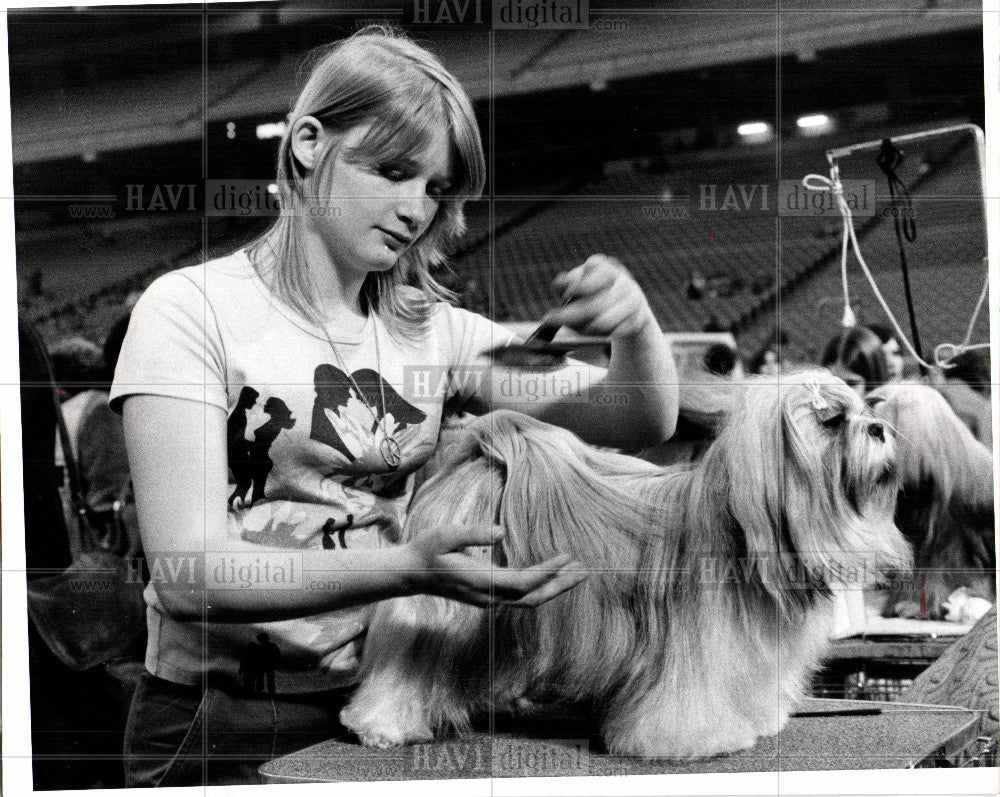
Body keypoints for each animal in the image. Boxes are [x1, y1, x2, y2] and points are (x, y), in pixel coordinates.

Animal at [340, 374, 912, 760]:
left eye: (865, 408)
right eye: (832, 420)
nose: (880, 428)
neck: (741, 533)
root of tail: (484, 453)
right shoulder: (696, 647)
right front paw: (694, 739)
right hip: (439, 609)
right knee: (405, 665)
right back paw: (382, 724)